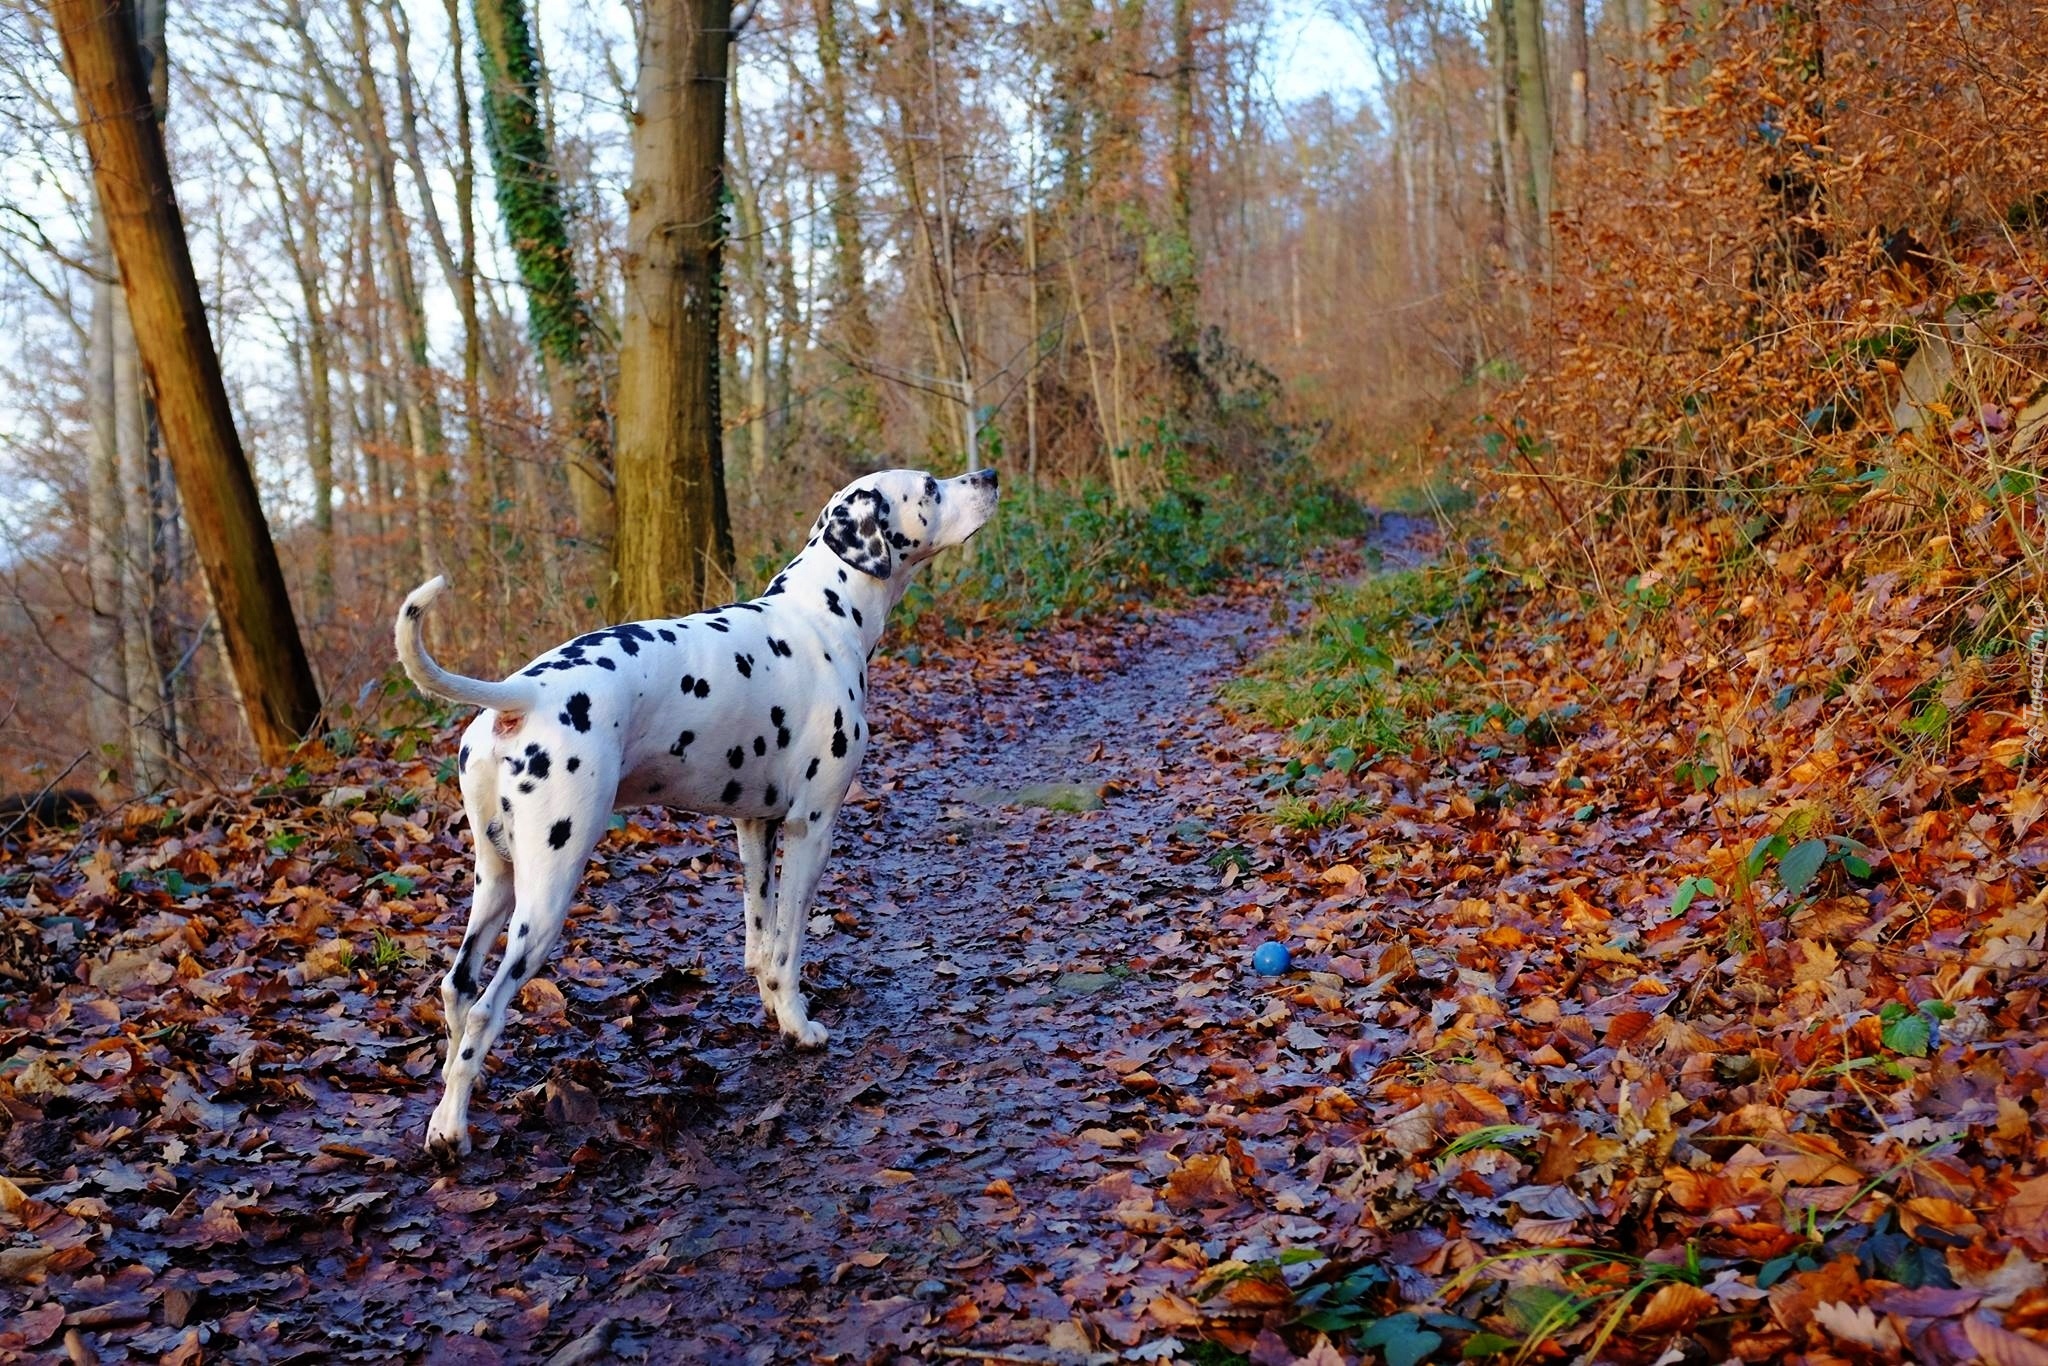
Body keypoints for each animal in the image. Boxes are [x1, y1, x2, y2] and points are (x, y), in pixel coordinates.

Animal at [393, 471, 999, 1155]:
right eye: (929, 487)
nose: (988, 477)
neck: (822, 615)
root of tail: (523, 694)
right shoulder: (811, 829)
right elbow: (788, 947)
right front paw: (800, 1026)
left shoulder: (756, 827)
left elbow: (760, 942)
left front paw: (773, 1013)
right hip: (546, 894)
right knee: (483, 1009)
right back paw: (452, 1132)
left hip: (495, 880)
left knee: (457, 988)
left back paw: (446, 1106)